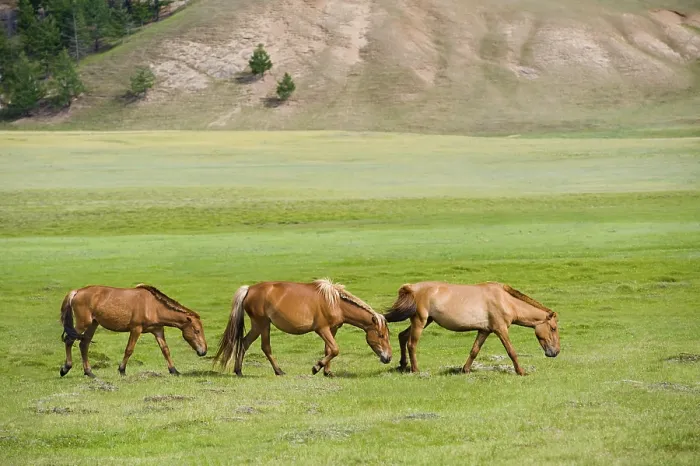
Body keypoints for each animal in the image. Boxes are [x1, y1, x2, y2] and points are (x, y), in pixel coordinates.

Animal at [58, 284, 207, 378]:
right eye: (197, 331)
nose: (203, 351)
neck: (153, 306)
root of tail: (76, 291)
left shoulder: (158, 330)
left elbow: (165, 350)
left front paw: (174, 370)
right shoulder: (136, 329)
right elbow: (129, 350)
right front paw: (122, 370)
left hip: (93, 324)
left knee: (84, 344)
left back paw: (89, 373)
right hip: (83, 323)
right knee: (69, 340)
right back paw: (65, 369)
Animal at [214, 278, 392, 377]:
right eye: (381, 335)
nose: (388, 357)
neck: (335, 302)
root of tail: (249, 289)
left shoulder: (333, 329)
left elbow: (329, 350)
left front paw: (327, 372)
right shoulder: (322, 329)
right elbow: (335, 349)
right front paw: (316, 367)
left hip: (258, 326)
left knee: (244, 343)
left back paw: (239, 371)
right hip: (263, 324)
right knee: (265, 347)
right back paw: (279, 371)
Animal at [383, 281, 559, 375]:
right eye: (553, 328)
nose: (555, 352)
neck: (505, 301)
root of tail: (411, 287)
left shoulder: (484, 330)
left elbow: (474, 351)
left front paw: (465, 370)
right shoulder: (500, 329)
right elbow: (511, 351)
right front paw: (521, 371)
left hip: (425, 321)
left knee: (402, 336)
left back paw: (403, 365)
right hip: (420, 321)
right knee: (411, 344)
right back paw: (415, 369)